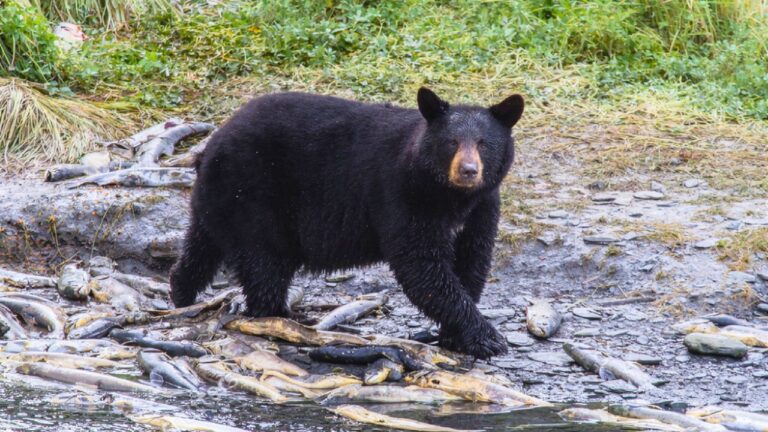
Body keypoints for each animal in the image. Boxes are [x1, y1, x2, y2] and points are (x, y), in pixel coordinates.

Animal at [170, 88, 524, 359]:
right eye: (451, 142)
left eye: (484, 143)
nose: (468, 171)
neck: (451, 197)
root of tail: (211, 146)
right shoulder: (403, 195)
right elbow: (422, 267)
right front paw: (487, 338)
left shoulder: (483, 207)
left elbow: (472, 260)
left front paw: (456, 336)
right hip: (253, 193)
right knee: (264, 262)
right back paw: (278, 315)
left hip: (222, 199)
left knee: (201, 246)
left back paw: (181, 293)